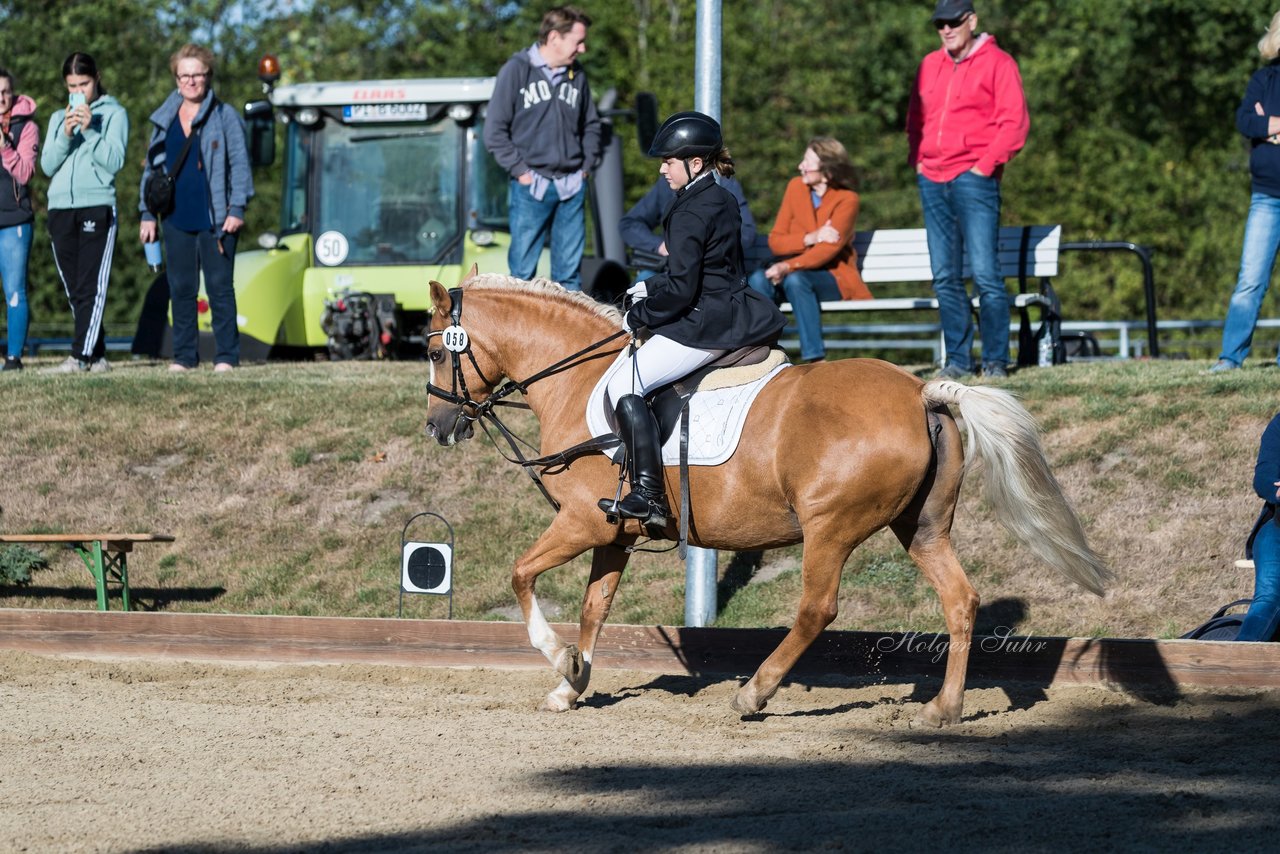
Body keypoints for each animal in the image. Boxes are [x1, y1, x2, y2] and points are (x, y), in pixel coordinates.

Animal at [424, 273, 1105, 727]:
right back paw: (944, 707)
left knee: (816, 609)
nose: (438, 427)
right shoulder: (613, 533)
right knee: (960, 601)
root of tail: (920, 392)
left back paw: (754, 693)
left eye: (434, 351)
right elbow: (596, 607)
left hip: (830, 526)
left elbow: (521, 576)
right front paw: (572, 683)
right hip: (922, 527)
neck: (580, 380)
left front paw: (558, 659)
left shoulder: (579, 525)